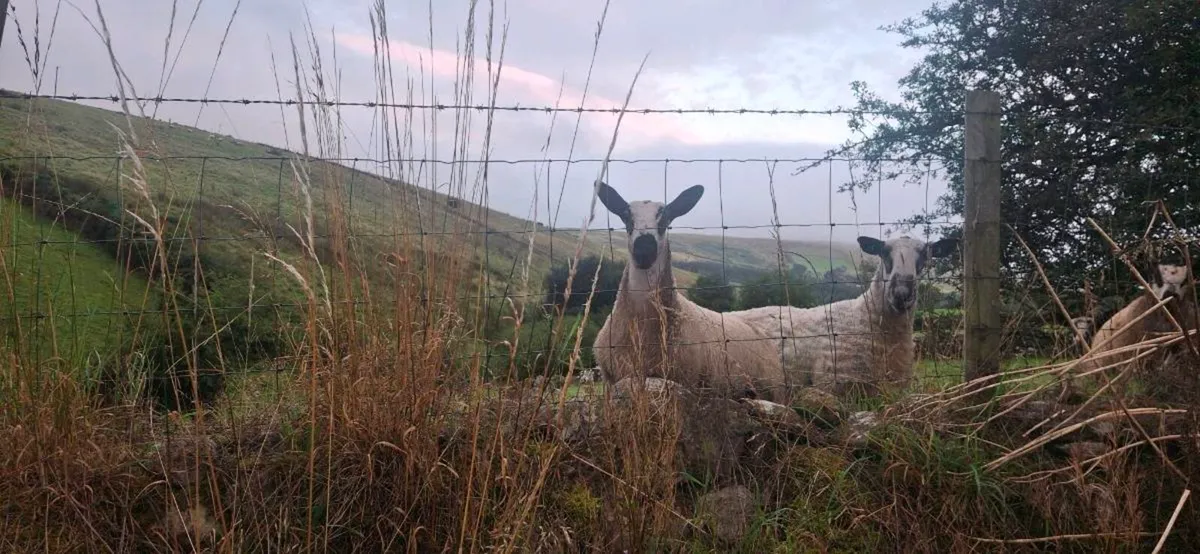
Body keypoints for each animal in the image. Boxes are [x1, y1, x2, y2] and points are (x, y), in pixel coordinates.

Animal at [590, 182, 789, 402]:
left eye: (666, 218)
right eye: (626, 217)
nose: (644, 250)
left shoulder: (686, 383)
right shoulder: (612, 381)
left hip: (774, 390)